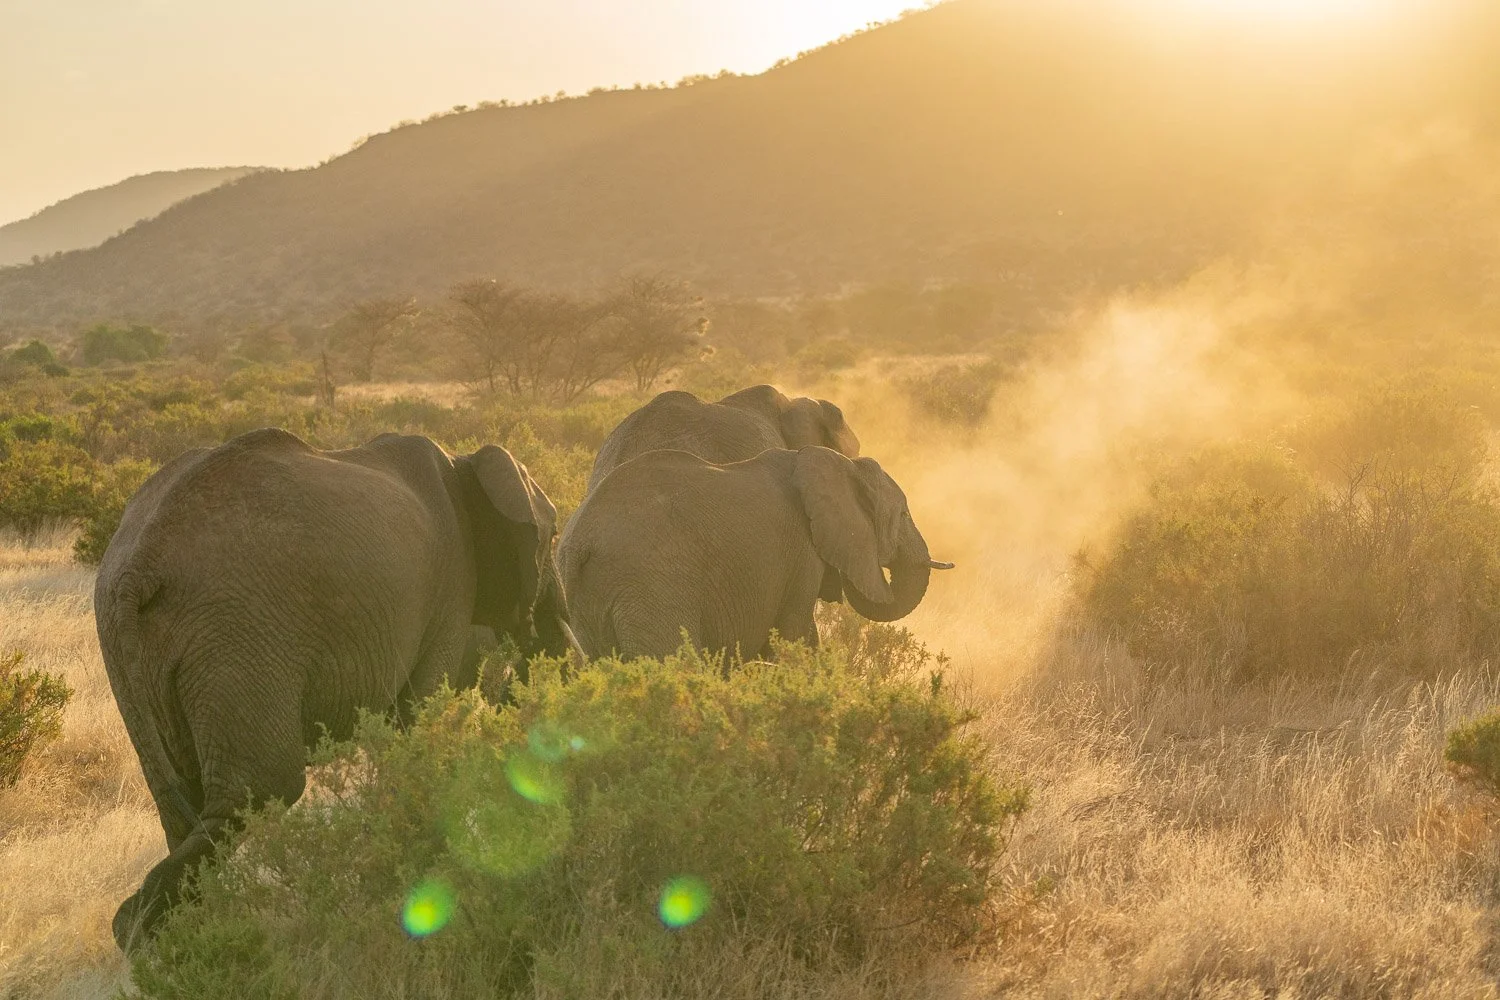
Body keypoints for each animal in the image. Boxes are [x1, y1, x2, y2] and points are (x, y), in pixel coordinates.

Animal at [94, 428, 580, 950]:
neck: (463, 462)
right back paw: (152, 936)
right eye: (553, 536)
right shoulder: (453, 588)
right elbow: (418, 721)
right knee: (262, 786)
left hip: (133, 653)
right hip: (235, 638)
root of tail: (138, 567)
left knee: (183, 800)